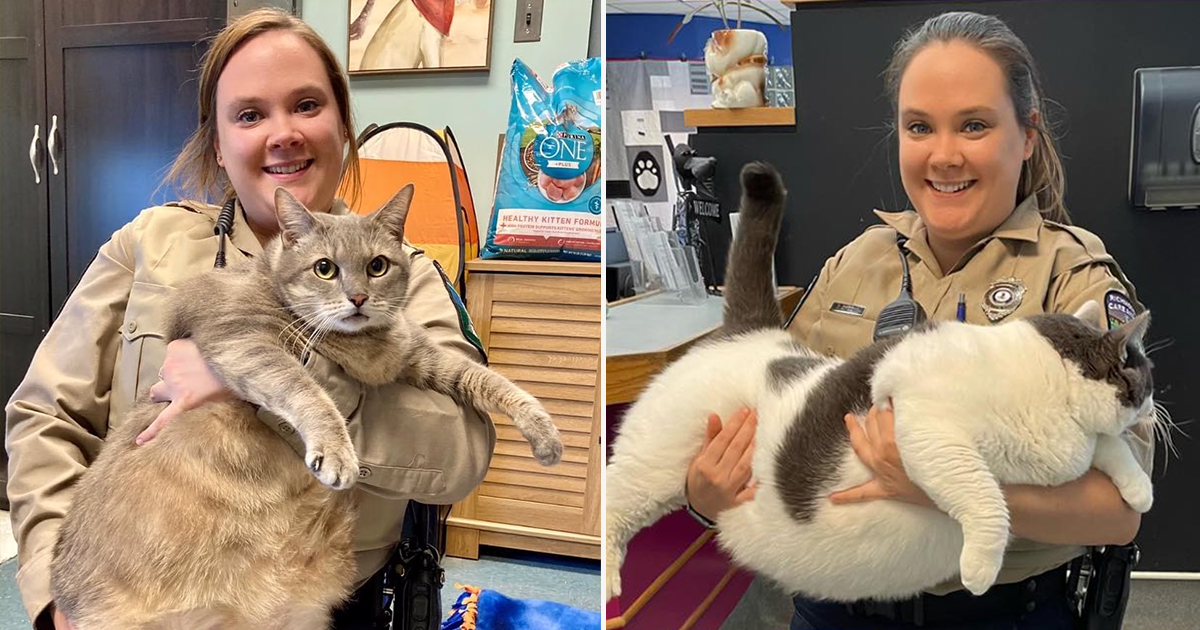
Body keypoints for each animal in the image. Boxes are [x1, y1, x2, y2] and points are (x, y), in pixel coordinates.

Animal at [604, 164, 1156, 602]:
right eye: (1144, 377)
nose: (1155, 406)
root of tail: (751, 330)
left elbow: (1111, 449)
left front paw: (1139, 491)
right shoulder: (930, 435)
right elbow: (986, 498)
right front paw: (980, 567)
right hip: (652, 463)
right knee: (615, 500)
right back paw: (607, 577)